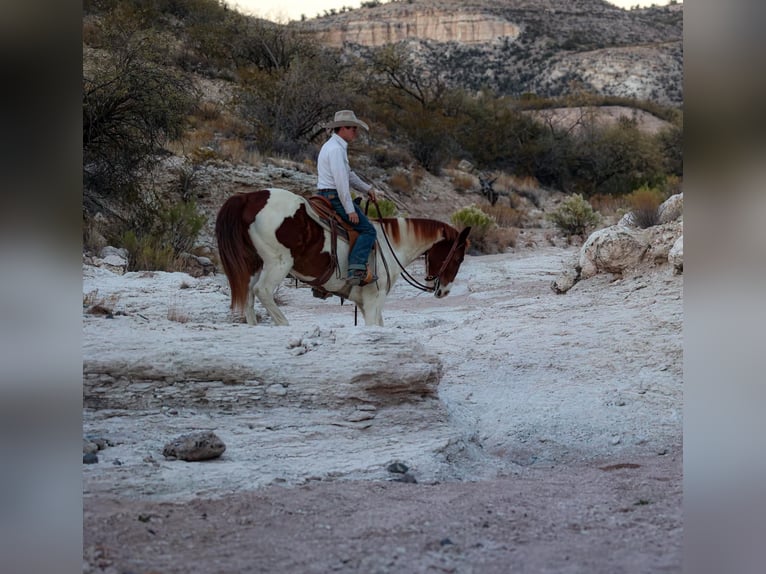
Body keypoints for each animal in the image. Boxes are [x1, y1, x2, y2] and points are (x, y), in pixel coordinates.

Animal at [215, 187, 471, 326]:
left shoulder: (364, 303)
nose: (444, 292)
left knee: (248, 296)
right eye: (458, 258)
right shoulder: (374, 299)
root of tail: (249, 198)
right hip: (278, 264)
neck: (390, 245)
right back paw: (284, 325)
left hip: (254, 264)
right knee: (263, 292)